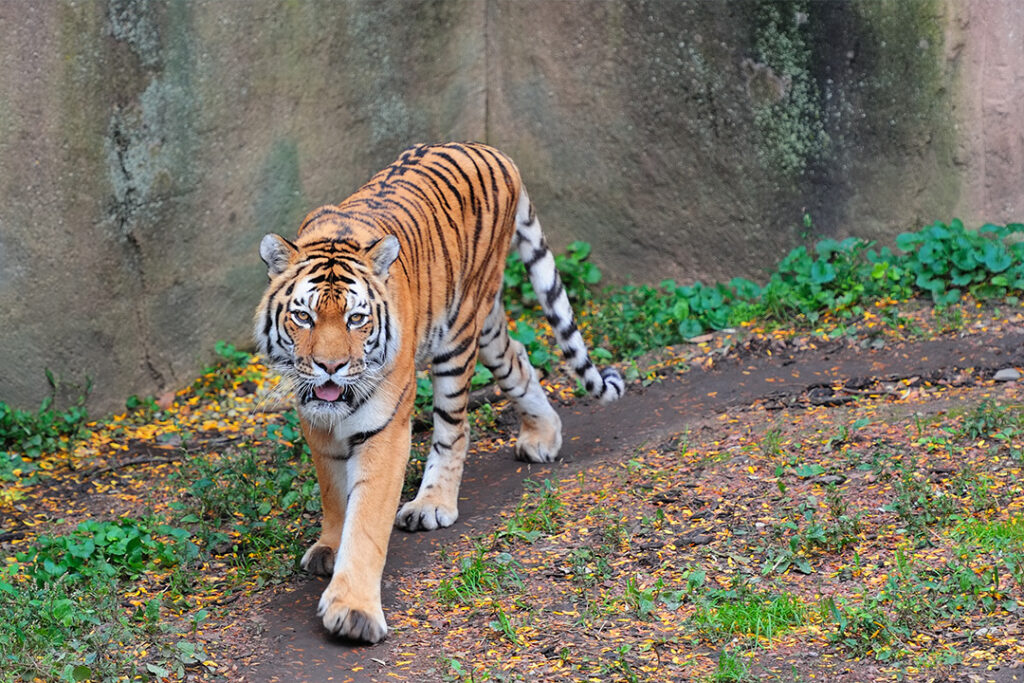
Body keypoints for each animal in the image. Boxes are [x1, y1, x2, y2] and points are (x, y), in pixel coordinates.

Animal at [254, 142, 625, 643]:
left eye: (356, 319)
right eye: (303, 317)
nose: (330, 367)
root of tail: (493, 150)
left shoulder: (385, 428)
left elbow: (367, 519)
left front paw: (353, 611)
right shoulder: (316, 420)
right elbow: (333, 492)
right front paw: (329, 547)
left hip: (460, 331)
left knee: (455, 428)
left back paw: (432, 504)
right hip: (487, 327)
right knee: (518, 357)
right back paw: (543, 437)